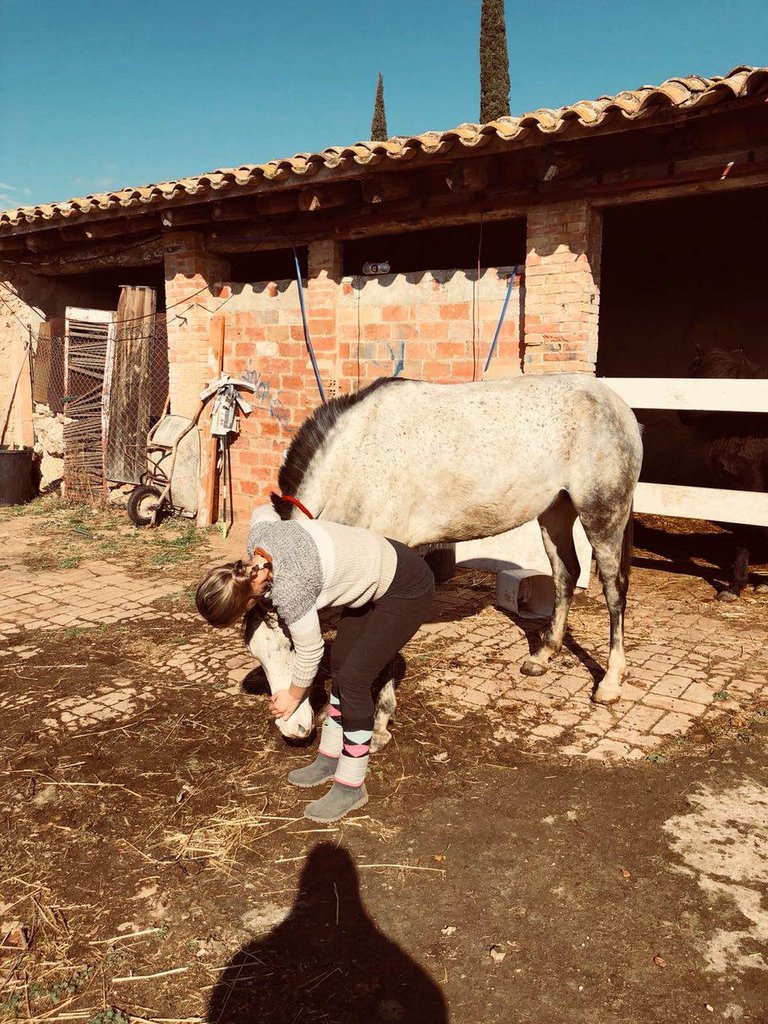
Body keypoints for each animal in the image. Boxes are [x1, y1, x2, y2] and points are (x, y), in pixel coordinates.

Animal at [246, 374, 643, 745]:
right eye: (259, 655)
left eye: (291, 645)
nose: (291, 728)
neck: (356, 459)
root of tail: (618, 406)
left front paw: (380, 723)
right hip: (555, 511)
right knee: (565, 574)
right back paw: (543, 656)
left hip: (602, 514)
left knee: (614, 590)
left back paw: (610, 682)